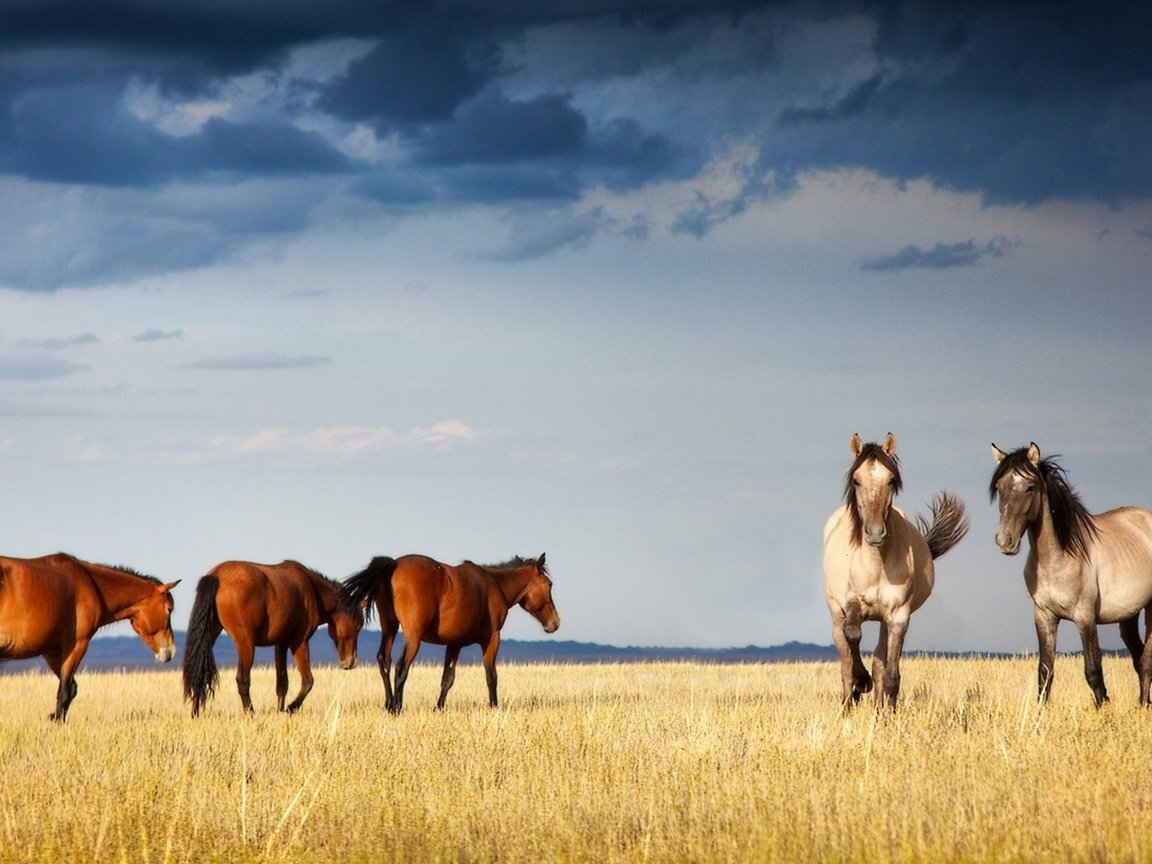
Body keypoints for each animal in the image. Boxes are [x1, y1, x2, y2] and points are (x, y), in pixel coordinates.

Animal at [0, 555, 178, 723]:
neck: (90, 584)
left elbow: (71, 688)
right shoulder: (77, 646)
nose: (170, 651)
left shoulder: (52, 652)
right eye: (169, 609)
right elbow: (65, 691)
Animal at [182, 562, 361, 718]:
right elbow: (308, 681)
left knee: (199, 673)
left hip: (209, 637)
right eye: (358, 624)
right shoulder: (299, 643)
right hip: (246, 644)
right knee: (242, 680)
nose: (351, 662)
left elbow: (282, 683)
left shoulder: (280, 645)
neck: (312, 590)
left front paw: (280, 711)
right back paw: (251, 713)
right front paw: (290, 708)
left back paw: (195, 713)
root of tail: (216, 575)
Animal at [338, 557, 559, 714]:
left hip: (390, 627)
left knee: (384, 660)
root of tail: (393, 564)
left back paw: (388, 703)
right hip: (412, 636)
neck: (495, 585)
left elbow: (448, 678)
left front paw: (439, 707)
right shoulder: (492, 640)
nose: (555, 623)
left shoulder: (454, 644)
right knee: (401, 667)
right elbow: (491, 676)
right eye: (549, 584)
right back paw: (396, 707)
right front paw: (494, 706)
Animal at [820, 433, 972, 709]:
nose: (874, 533)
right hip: (836, 613)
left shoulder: (898, 615)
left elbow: (890, 673)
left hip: (883, 621)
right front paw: (862, 683)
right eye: (856, 480)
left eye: (891, 480)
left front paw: (887, 711)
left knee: (879, 661)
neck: (876, 563)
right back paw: (849, 700)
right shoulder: (852, 603)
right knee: (845, 660)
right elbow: (853, 635)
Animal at [986, 442, 1152, 705]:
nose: (1005, 541)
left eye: (1029, 487)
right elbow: (1045, 672)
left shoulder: (1085, 617)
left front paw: (1102, 708)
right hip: (1128, 615)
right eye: (999, 488)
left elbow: (1093, 671)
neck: (1057, 558)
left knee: (1146, 661)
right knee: (1138, 658)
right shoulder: (1044, 616)